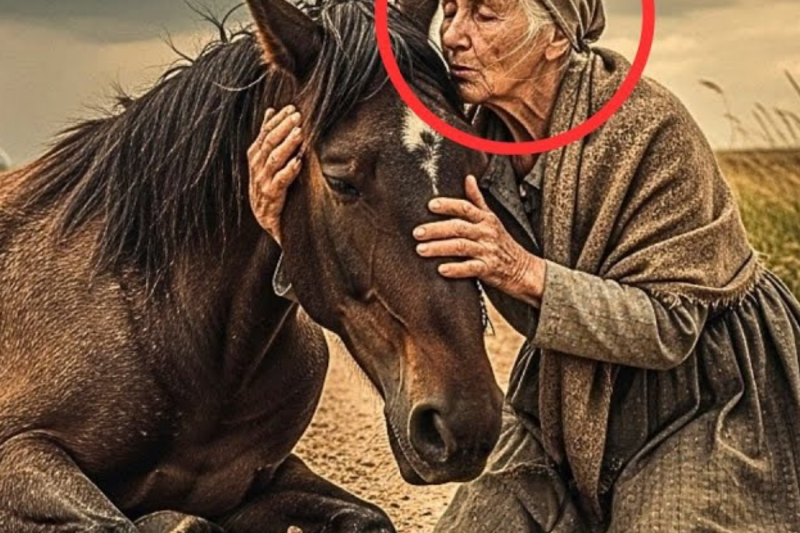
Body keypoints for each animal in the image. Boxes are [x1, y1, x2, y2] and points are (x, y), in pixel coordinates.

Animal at [0, 0, 502, 531]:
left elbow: (368, 517)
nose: (465, 422)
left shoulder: (267, 476)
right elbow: (128, 521)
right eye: (341, 180)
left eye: (478, 167)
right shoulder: (22, 452)